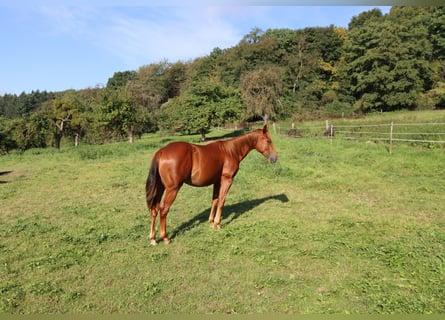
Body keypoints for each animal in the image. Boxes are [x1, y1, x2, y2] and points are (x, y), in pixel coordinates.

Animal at [146, 124, 278, 244]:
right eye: (268, 141)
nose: (275, 158)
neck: (231, 151)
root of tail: (162, 151)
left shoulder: (217, 182)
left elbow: (215, 200)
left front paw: (211, 222)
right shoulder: (227, 180)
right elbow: (221, 201)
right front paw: (217, 224)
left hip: (160, 188)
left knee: (154, 209)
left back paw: (153, 238)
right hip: (172, 189)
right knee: (163, 210)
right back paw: (165, 238)